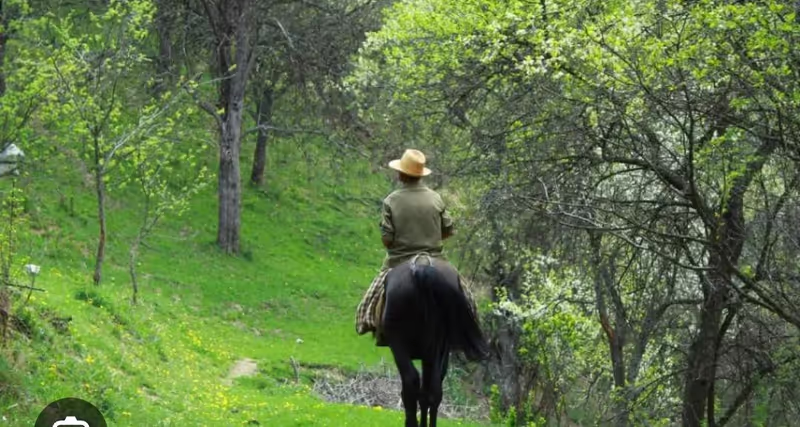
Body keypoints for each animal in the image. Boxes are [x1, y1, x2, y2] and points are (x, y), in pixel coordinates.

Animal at [381, 254, 489, 427]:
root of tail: (422, 268)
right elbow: (427, 393)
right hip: (437, 346)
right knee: (433, 390)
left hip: (398, 344)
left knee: (411, 382)